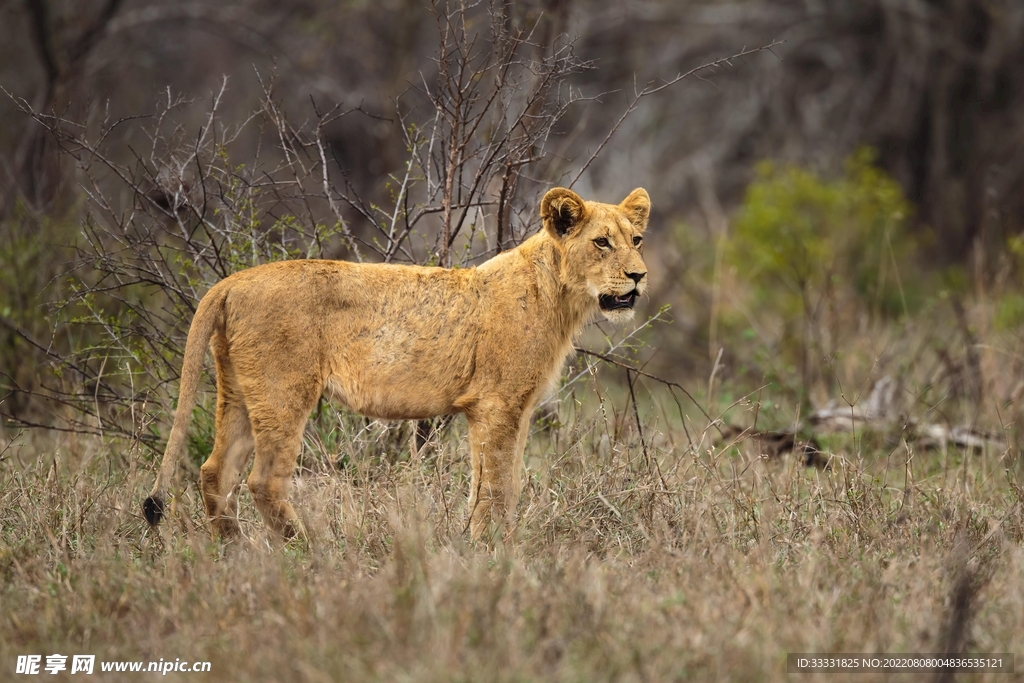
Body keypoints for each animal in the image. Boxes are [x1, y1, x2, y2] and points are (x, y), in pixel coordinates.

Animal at [141, 185, 651, 540]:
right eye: (602, 243)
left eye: (637, 238)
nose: (639, 275)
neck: (560, 298)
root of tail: (230, 282)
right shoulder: (495, 405)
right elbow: (494, 486)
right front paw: (489, 549)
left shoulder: (516, 410)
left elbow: (507, 484)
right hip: (282, 392)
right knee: (263, 480)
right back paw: (306, 549)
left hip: (240, 394)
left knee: (214, 471)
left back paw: (235, 549)